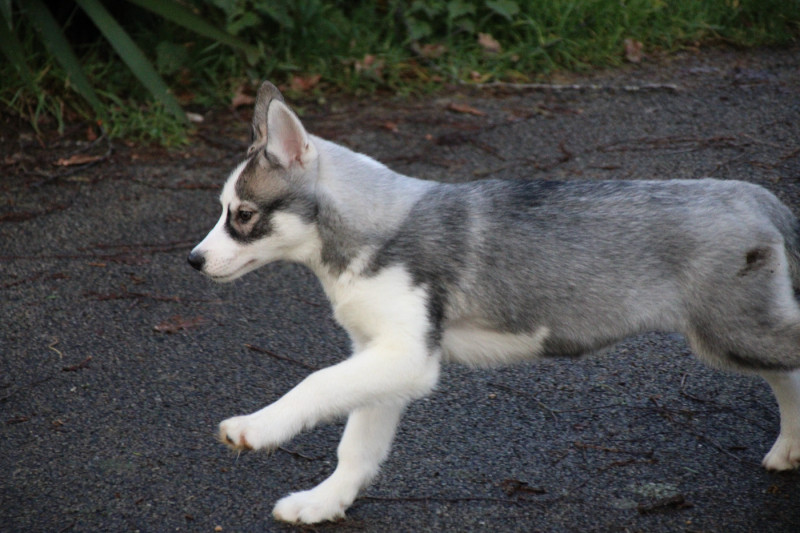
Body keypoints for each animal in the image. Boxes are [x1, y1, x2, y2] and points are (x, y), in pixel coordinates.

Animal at [188, 81, 800, 524]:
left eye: (243, 215)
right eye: (223, 210)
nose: (193, 261)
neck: (374, 226)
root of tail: (752, 195)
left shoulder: (408, 357)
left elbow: (314, 384)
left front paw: (256, 428)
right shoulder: (383, 358)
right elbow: (356, 445)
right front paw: (323, 502)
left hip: (732, 332)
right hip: (736, 334)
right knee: (786, 376)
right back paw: (789, 448)